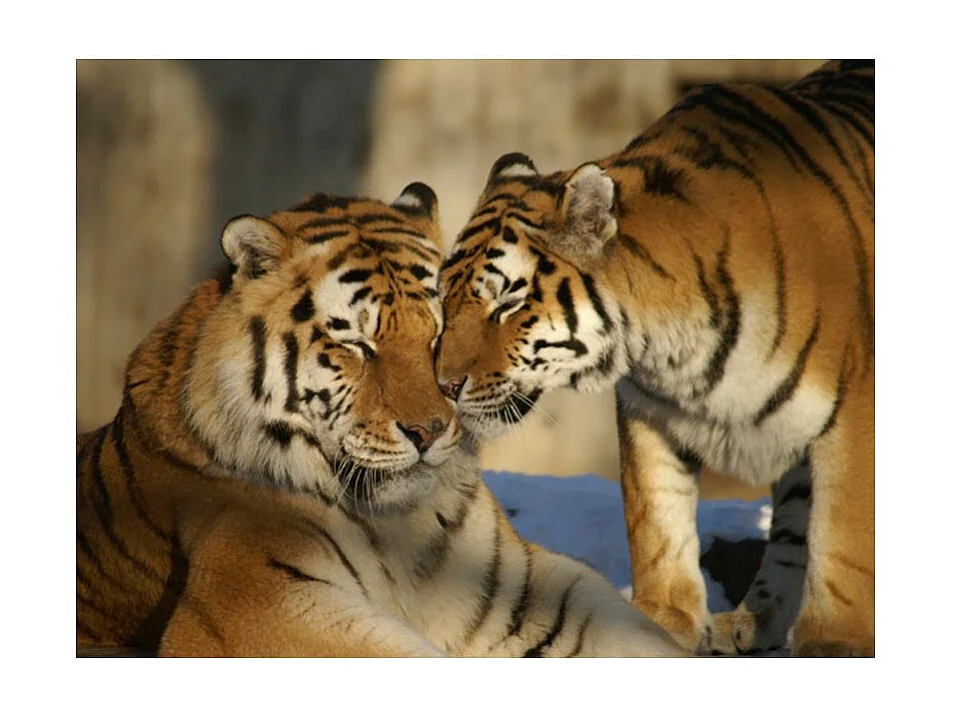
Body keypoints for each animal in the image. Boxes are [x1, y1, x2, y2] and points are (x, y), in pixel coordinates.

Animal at [76, 184, 688, 657]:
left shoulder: (522, 591)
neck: (402, 527)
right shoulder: (252, 605)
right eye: (356, 343)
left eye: (440, 332)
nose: (429, 431)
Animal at [435, 60, 874, 657]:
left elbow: (843, 540)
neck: (670, 344)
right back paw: (751, 621)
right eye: (445, 298)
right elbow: (657, 518)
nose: (443, 384)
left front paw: (835, 643)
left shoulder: (855, 408)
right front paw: (663, 621)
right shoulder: (650, 409)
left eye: (507, 303)